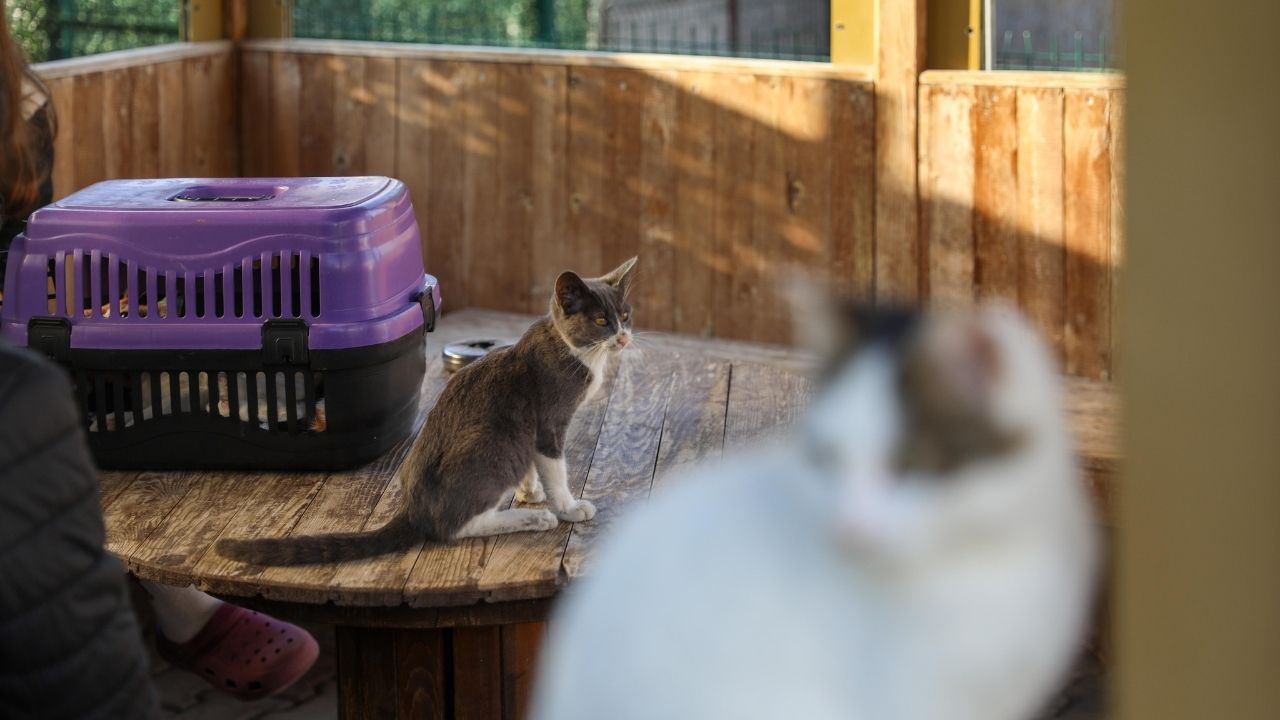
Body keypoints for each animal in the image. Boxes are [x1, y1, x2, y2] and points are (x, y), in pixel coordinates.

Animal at [220, 254, 645, 563]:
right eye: (601, 320)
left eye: (625, 316)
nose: (624, 337)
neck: (577, 353)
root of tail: (414, 510)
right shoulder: (548, 421)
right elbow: (556, 468)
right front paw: (567, 507)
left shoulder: (534, 430)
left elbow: (533, 469)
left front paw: (530, 491)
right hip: (497, 440)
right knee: (454, 527)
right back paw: (530, 519)